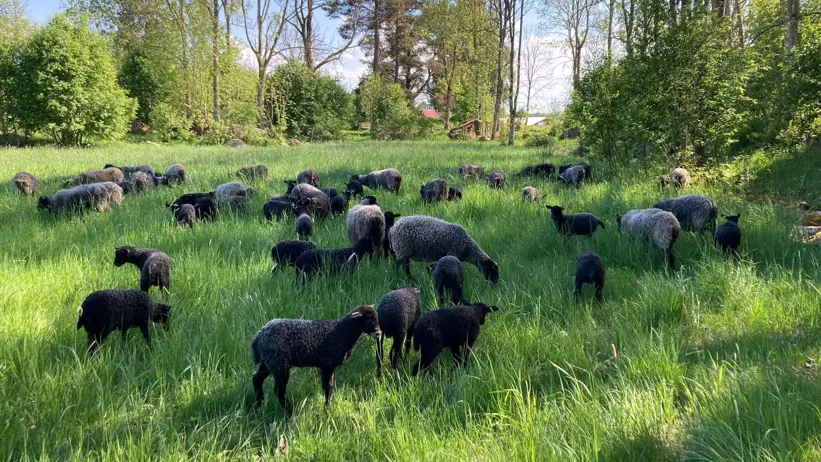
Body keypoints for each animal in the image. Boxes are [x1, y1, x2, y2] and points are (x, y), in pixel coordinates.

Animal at [250, 305, 380, 408]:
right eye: (369, 319)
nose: (378, 333)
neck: (342, 332)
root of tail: (258, 337)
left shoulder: (326, 366)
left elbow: (328, 387)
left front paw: (327, 407)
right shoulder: (328, 365)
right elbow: (328, 387)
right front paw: (327, 409)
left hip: (268, 362)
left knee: (256, 379)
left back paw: (259, 404)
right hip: (279, 363)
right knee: (279, 391)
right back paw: (289, 412)